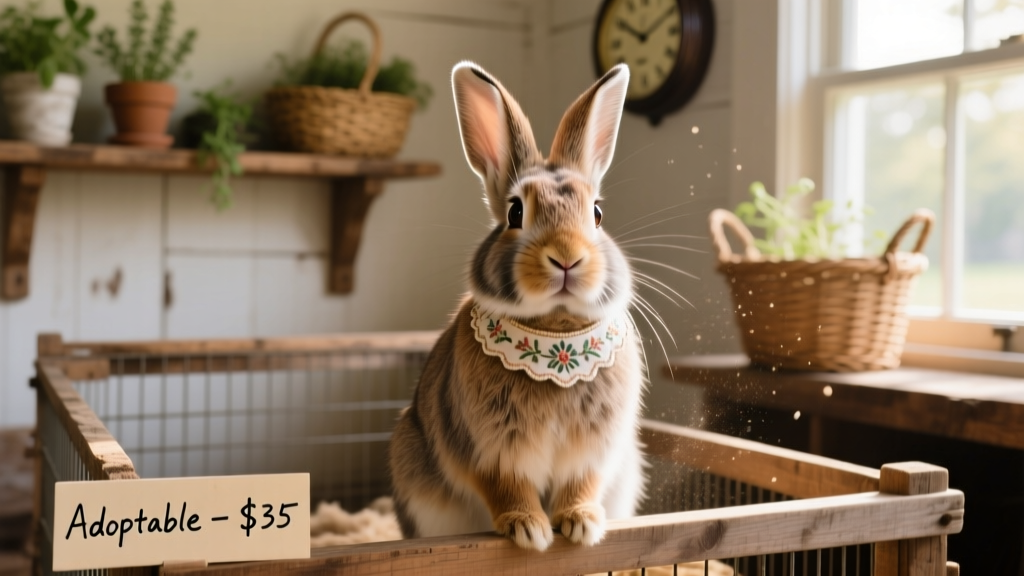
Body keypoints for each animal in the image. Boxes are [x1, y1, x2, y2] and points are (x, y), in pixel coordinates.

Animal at [387, 60, 645, 552]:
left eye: (597, 213)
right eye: (515, 213)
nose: (567, 257)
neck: (556, 346)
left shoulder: (592, 453)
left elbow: (581, 485)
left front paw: (582, 524)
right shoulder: (488, 450)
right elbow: (507, 487)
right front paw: (530, 530)